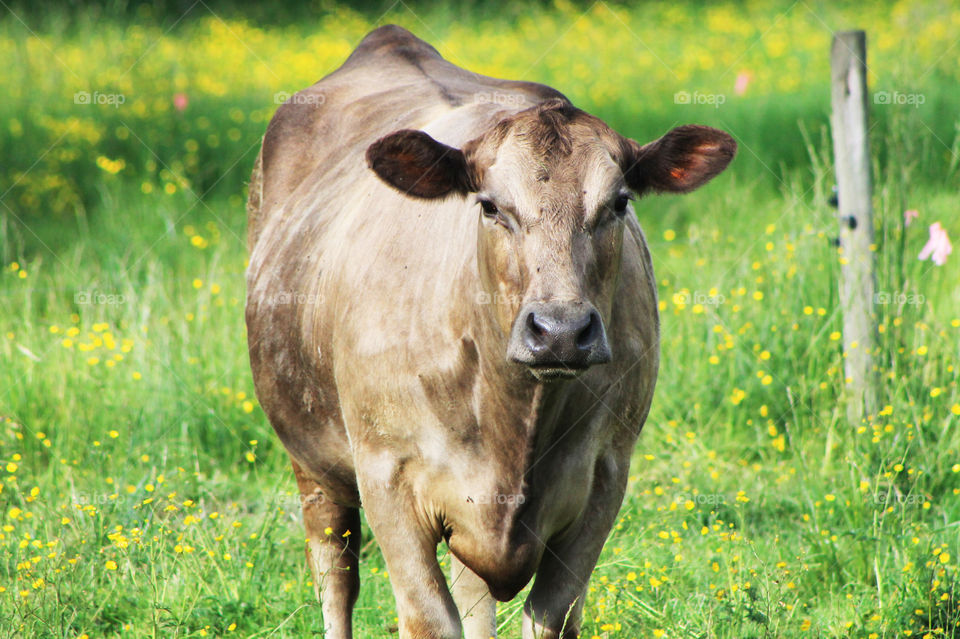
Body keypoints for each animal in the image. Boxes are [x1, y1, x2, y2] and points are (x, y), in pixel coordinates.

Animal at [246, 25, 735, 639]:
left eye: (618, 203)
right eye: (490, 207)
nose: (559, 330)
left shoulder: (604, 476)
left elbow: (551, 616)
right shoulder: (387, 477)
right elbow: (428, 618)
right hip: (312, 463)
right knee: (335, 577)